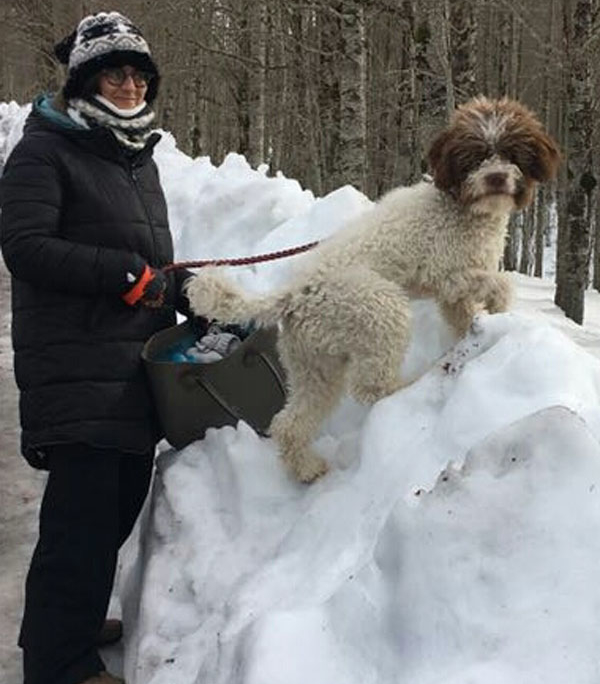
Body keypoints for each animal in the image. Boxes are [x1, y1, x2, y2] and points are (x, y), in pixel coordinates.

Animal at [185, 96, 560, 484]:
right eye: (475, 156)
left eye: (512, 153)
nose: (496, 177)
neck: (459, 208)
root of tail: (295, 293)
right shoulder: (447, 274)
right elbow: (498, 284)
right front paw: (501, 309)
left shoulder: (451, 294)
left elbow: (462, 317)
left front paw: (473, 333)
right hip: (381, 309)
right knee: (372, 388)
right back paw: (408, 389)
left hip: (314, 365)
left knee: (290, 423)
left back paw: (306, 469)